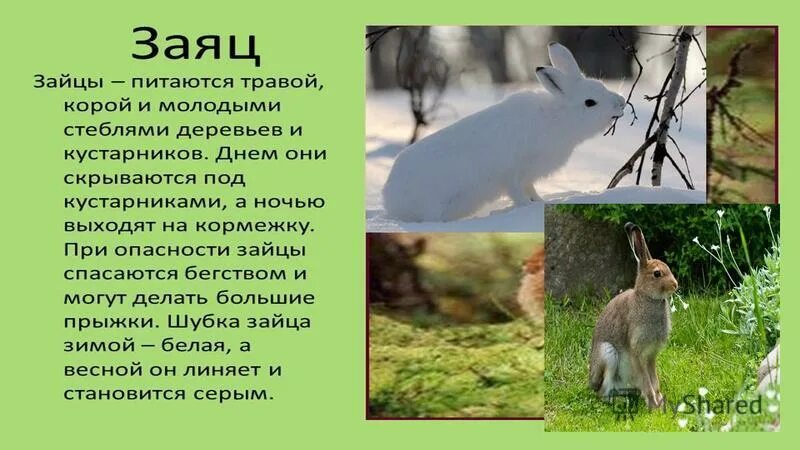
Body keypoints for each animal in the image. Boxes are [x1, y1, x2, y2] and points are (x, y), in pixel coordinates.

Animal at [382, 42, 626, 222]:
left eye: (602, 86)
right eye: (590, 102)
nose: (621, 102)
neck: (558, 118)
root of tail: (389, 197)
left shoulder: (528, 176)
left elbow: (531, 190)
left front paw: (540, 203)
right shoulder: (513, 174)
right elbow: (518, 193)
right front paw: (527, 208)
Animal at [588, 222, 678, 409]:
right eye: (657, 274)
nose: (675, 285)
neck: (647, 297)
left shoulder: (651, 355)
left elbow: (654, 380)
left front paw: (659, 402)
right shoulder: (637, 352)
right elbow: (647, 381)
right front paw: (653, 406)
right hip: (608, 354)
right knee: (602, 392)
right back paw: (619, 401)